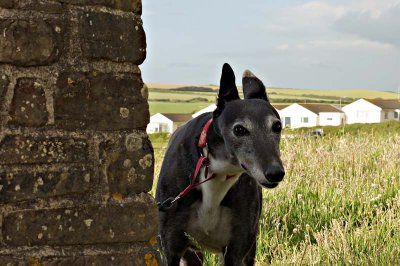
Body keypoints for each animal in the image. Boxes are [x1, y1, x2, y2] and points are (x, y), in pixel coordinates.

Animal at [155, 63, 284, 264]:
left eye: (277, 126)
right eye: (239, 129)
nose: (275, 173)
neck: (218, 174)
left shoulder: (235, 250)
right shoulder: (170, 249)